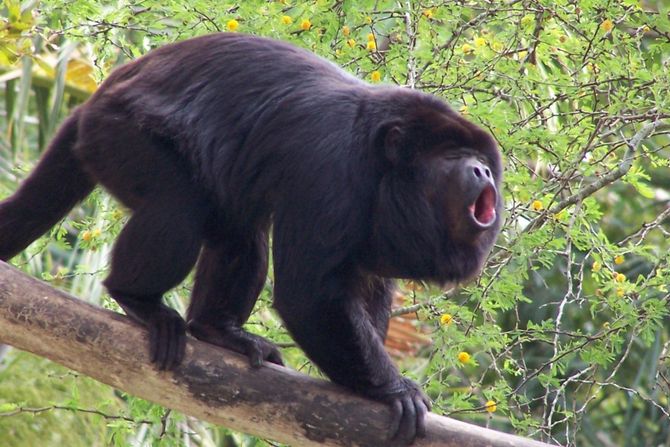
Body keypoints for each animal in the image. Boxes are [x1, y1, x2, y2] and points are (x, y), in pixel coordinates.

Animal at [0, 32, 504, 444]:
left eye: (481, 159)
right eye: (453, 156)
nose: (481, 171)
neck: (381, 163)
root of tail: (95, 98)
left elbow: (366, 281)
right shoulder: (332, 168)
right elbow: (308, 295)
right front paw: (393, 389)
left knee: (240, 229)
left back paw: (216, 329)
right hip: (118, 137)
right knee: (178, 205)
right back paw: (137, 299)